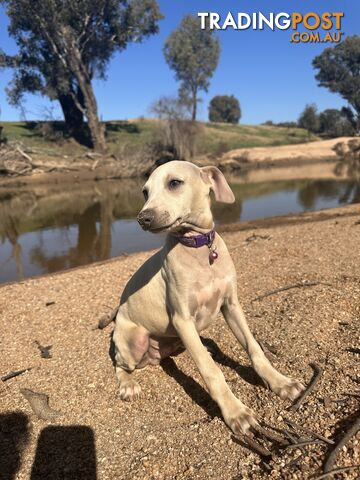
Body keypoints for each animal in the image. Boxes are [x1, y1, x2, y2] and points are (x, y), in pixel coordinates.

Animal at [112, 161, 304, 436]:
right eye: (145, 191)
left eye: (174, 183)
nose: (143, 218)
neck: (199, 246)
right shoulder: (182, 320)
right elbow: (210, 369)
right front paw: (235, 411)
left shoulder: (231, 305)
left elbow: (254, 348)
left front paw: (281, 382)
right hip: (133, 340)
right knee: (119, 363)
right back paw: (128, 385)